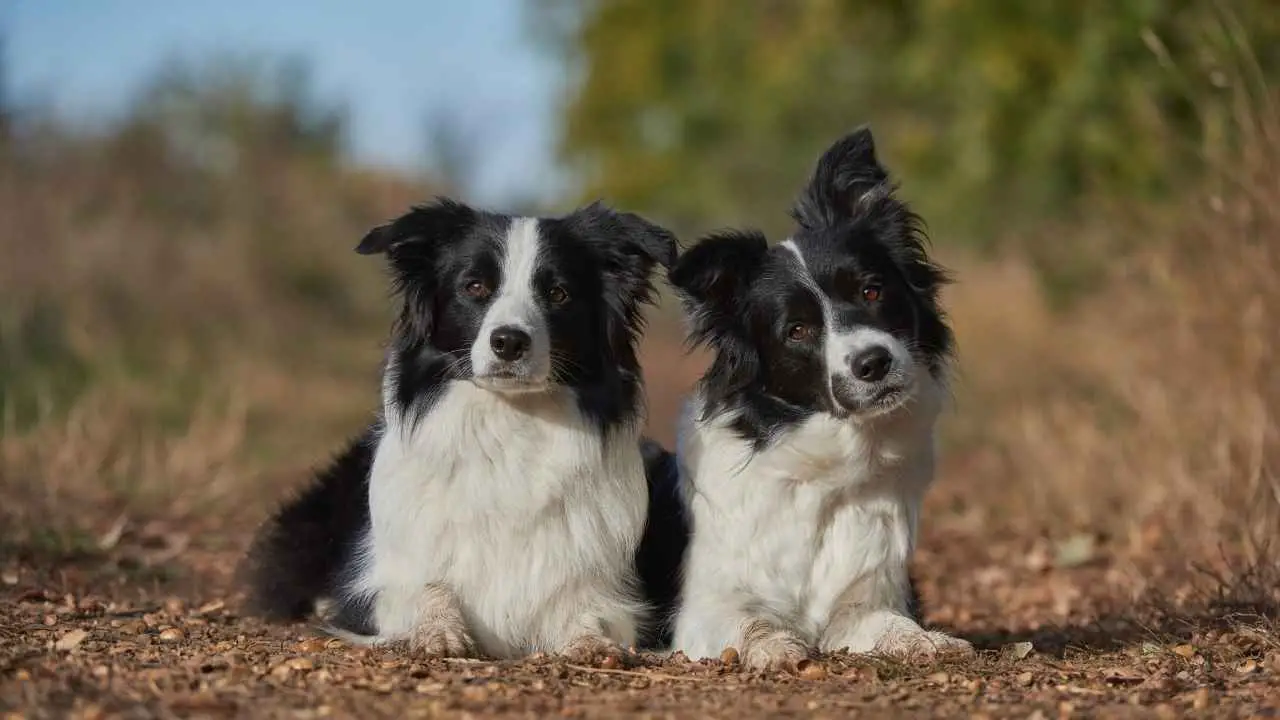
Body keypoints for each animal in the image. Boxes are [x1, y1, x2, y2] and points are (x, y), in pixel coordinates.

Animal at [240, 198, 680, 661]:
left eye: (559, 294)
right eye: (475, 287)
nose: (509, 342)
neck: (510, 422)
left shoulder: (608, 587)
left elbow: (589, 611)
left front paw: (591, 641)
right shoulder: (381, 581)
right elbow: (425, 588)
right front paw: (439, 629)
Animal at [665, 127, 972, 666]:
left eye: (872, 291)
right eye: (798, 330)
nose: (873, 363)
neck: (824, 475)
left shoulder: (868, 597)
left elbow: (891, 623)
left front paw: (928, 640)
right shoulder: (699, 613)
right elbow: (748, 623)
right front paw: (775, 646)